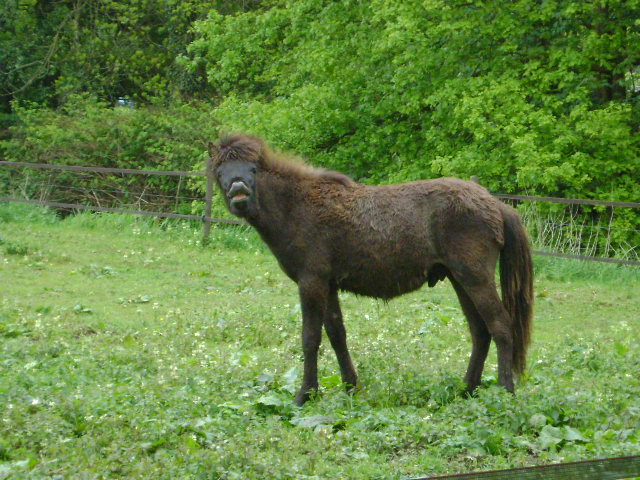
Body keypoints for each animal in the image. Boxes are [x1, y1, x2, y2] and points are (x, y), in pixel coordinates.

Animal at [209, 134, 528, 404]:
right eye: (220, 171)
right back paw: (466, 390)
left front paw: (305, 395)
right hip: (459, 279)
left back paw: (505, 392)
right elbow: (337, 335)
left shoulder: (311, 282)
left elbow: (310, 338)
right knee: (480, 331)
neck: (297, 206)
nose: (238, 191)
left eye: (253, 169)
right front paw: (351, 388)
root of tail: (496, 204)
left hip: (475, 278)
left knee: (500, 326)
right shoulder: (328, 285)